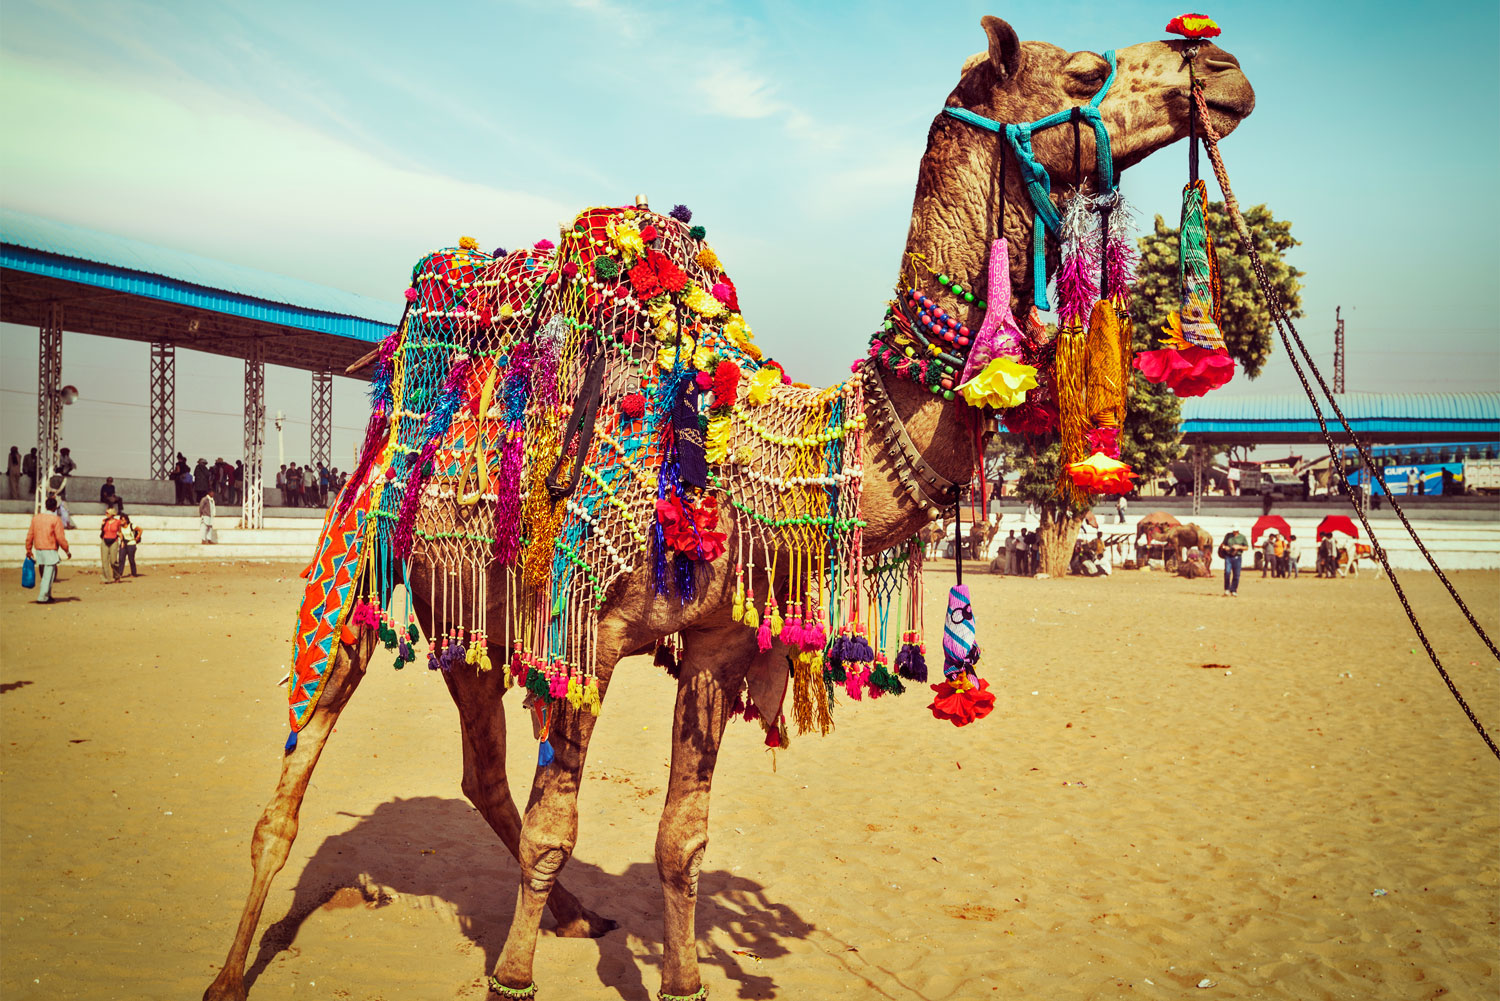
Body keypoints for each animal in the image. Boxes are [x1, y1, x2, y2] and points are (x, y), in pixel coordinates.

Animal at [202, 15, 1254, 1001]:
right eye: (1083, 70)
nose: (1221, 67)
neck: (744, 446)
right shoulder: (588, 634)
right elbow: (557, 824)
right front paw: (512, 977)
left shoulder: (714, 642)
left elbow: (682, 835)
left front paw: (681, 978)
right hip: (361, 548)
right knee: (307, 750)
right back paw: (230, 968)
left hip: (475, 612)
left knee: (479, 767)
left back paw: (578, 915)